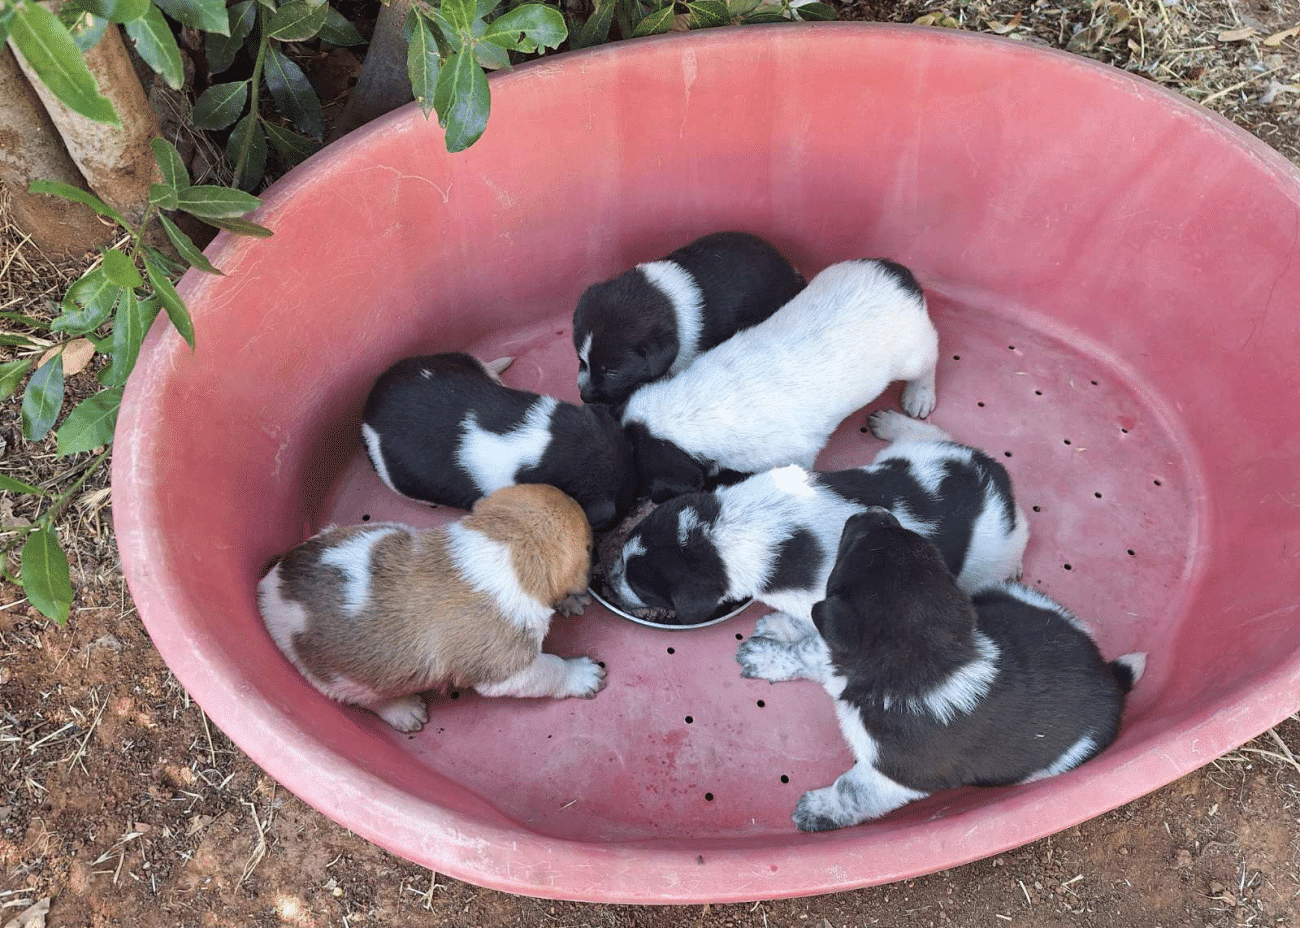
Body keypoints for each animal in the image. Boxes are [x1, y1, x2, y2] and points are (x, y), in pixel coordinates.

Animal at [257, 484, 606, 732]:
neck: (508, 545)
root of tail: (269, 584)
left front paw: (572, 600)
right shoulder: (509, 670)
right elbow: (551, 670)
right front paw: (581, 675)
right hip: (339, 679)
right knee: (368, 698)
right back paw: (403, 711)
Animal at [607, 410, 1028, 625]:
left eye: (642, 587)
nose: (610, 582)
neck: (729, 528)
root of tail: (995, 473)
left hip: (992, 552)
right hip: (917, 454)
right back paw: (893, 423)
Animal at [621, 258, 940, 502]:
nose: (642, 499)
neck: (698, 405)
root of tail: (897, 272)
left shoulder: (796, 456)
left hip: (911, 355)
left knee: (930, 357)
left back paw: (919, 394)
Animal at [736, 507, 1144, 831]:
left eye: (850, 551)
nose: (874, 511)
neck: (926, 660)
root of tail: (1111, 675)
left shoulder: (898, 771)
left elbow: (853, 791)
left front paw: (819, 810)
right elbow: (808, 651)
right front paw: (767, 654)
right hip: (1010, 595)